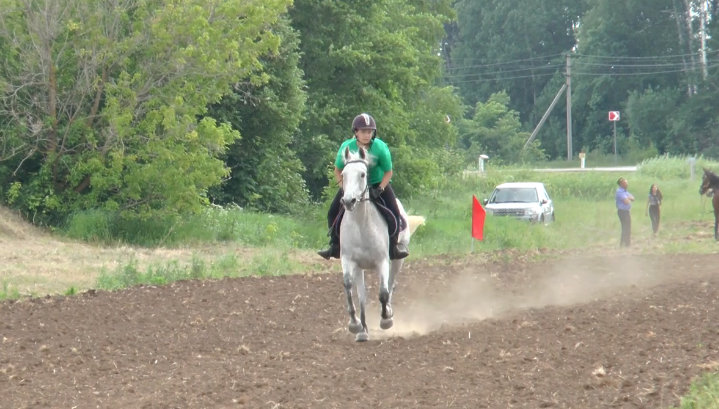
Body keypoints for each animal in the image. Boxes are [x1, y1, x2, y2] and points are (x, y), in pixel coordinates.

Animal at [338, 146, 420, 342]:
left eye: (362, 174)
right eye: (343, 174)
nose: (348, 201)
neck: (361, 224)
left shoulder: (381, 261)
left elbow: (383, 292)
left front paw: (385, 320)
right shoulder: (348, 261)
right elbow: (349, 288)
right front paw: (355, 325)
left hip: (398, 260)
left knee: (391, 285)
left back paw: (388, 312)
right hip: (359, 267)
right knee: (362, 295)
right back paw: (363, 330)